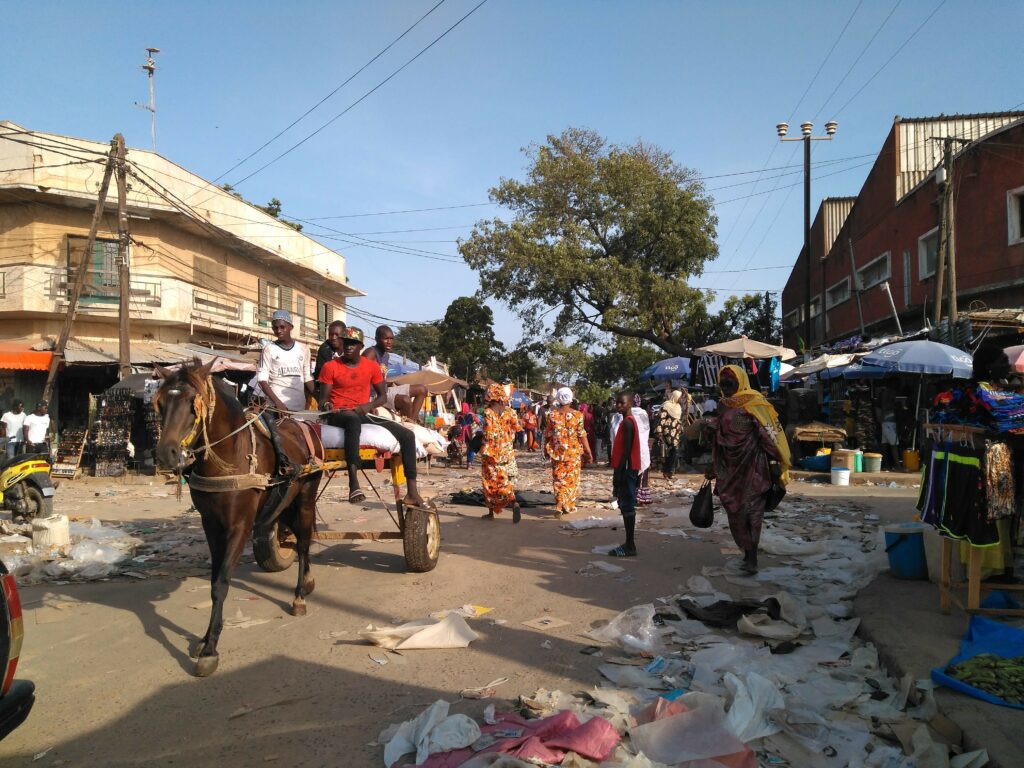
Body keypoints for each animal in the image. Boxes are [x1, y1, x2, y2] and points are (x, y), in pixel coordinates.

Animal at [150, 360, 319, 679]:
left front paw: (209, 650)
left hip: (306, 496)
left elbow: (221, 584)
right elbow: (214, 579)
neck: (228, 458)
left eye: (193, 405)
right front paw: (205, 639)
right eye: (161, 403)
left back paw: (300, 595)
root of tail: (303, 425)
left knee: (304, 543)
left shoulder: (239, 526)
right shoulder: (211, 525)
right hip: (285, 501)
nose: (166, 455)